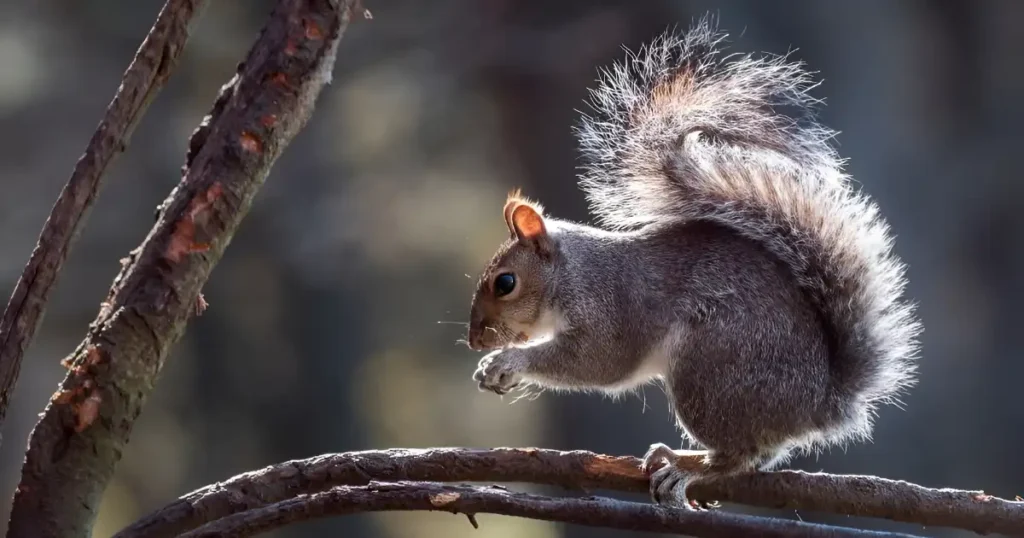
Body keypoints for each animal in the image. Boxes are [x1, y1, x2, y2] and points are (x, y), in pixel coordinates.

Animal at [464, 18, 921, 510]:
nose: (475, 340)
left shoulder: (610, 310)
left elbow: (598, 361)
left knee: (740, 455)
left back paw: (688, 468)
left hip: (709, 369)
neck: (572, 274)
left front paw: (507, 361)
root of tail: (819, 402)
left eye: (505, 283)